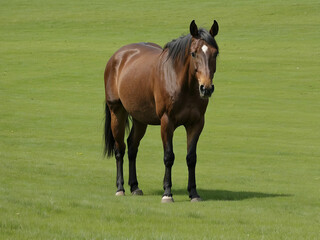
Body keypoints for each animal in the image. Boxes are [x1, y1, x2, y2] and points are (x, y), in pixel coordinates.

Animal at [104, 19, 219, 202]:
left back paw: (135, 186)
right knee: (120, 149)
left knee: (132, 147)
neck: (181, 83)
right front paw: (167, 193)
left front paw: (193, 193)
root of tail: (118, 57)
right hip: (117, 112)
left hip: (140, 119)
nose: (206, 88)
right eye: (193, 53)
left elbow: (191, 158)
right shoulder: (167, 122)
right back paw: (120, 188)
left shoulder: (196, 123)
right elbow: (168, 156)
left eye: (215, 53)